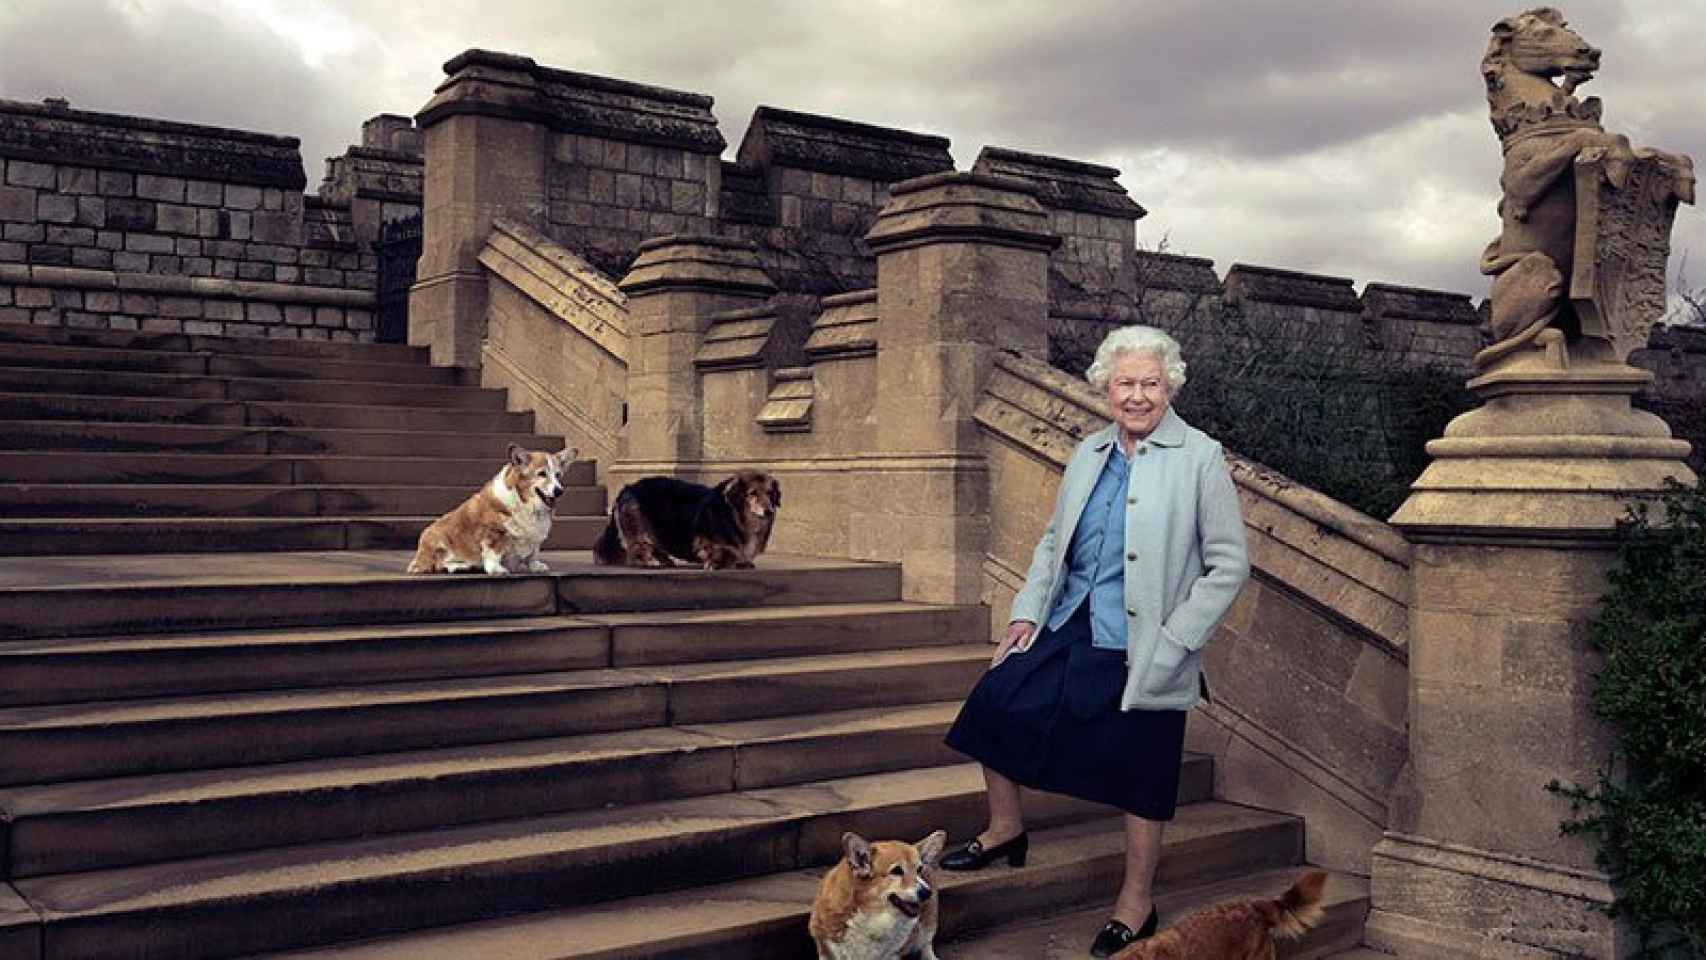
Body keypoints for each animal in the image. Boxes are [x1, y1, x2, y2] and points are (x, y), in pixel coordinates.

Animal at [407, 446, 580, 576]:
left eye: (558, 475)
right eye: (542, 474)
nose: (559, 491)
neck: (526, 503)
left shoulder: (535, 537)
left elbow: (533, 553)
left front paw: (535, 566)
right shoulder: (492, 532)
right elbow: (493, 552)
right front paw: (496, 569)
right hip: (436, 535)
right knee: (438, 563)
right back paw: (459, 566)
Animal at [808, 828, 948, 960]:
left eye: (919, 870)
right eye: (897, 871)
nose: (927, 892)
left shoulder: (892, 954)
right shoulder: (827, 951)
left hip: (928, 921)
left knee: (926, 943)